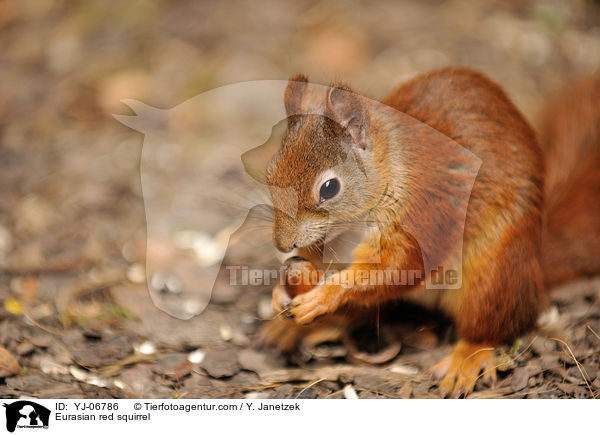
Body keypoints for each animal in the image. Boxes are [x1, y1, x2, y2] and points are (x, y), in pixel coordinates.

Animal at [258, 68, 600, 398]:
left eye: (329, 188)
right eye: (271, 171)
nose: (282, 243)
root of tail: (536, 266)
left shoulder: (425, 211)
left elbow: (399, 268)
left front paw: (327, 294)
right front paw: (280, 292)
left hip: (492, 274)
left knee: (494, 325)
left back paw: (467, 358)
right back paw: (296, 329)